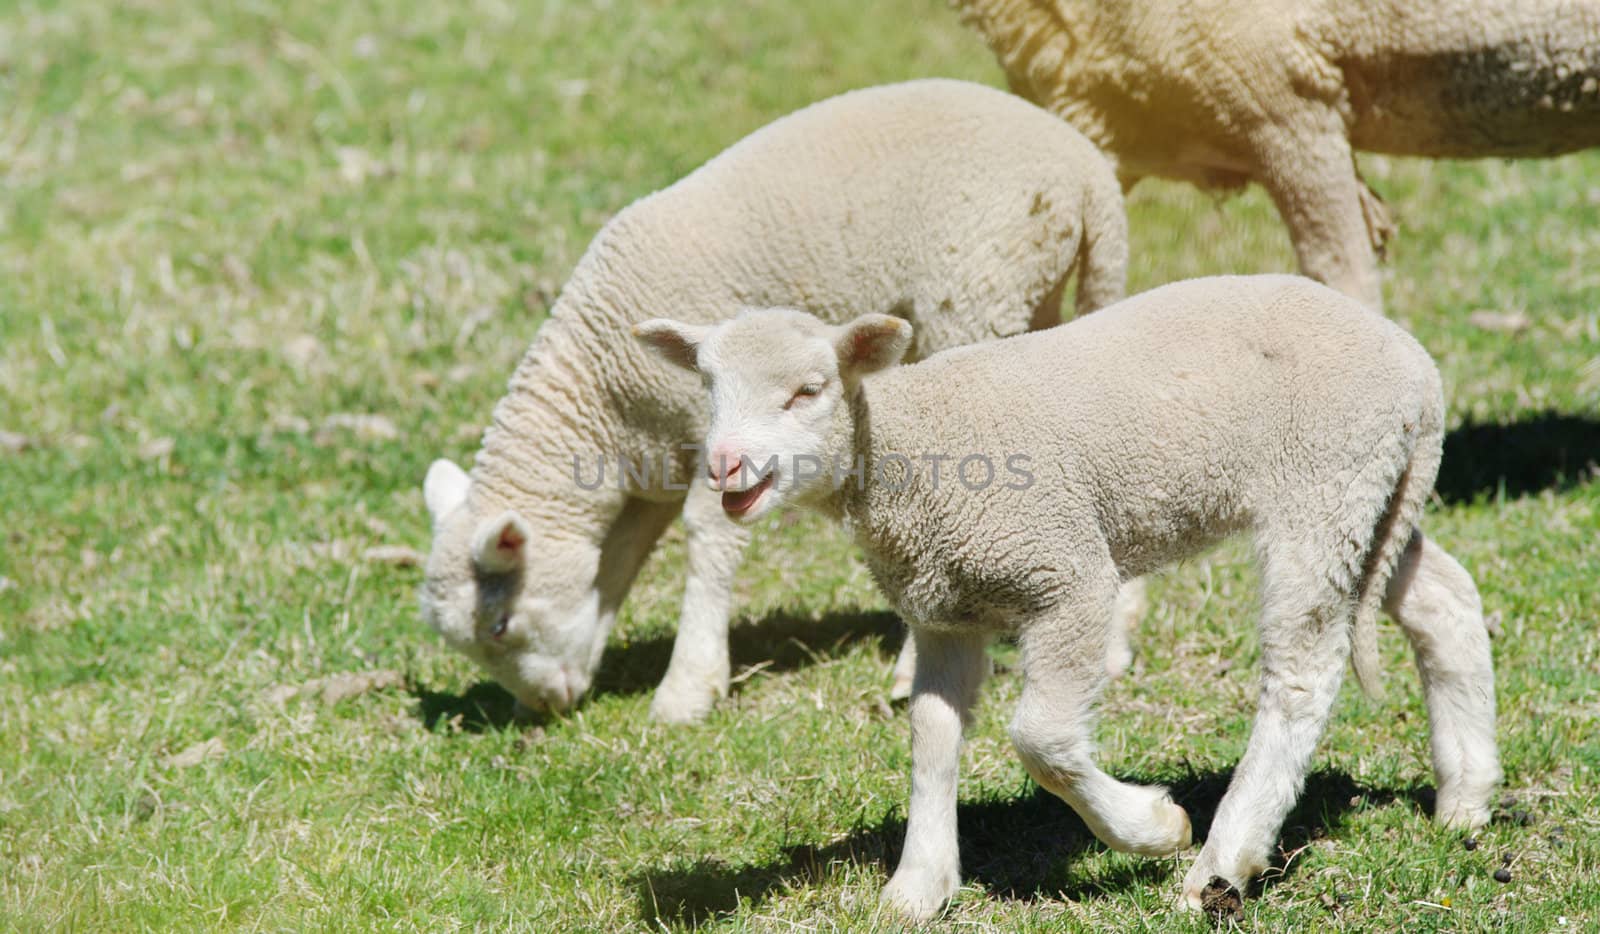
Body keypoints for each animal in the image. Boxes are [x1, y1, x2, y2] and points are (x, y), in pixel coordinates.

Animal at [419, 78, 1132, 722]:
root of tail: (1089, 173)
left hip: (981, 286)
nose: (542, 710)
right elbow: (615, 564)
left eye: (500, 626)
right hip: (1035, 294)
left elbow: (708, 535)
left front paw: (688, 688)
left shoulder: (709, 440)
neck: (599, 393)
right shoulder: (651, 464)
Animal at [636, 275, 1497, 921]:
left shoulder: (1066, 576)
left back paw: (1220, 863)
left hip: (1321, 485)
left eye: (808, 392)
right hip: (1374, 493)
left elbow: (1042, 740)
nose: (724, 465)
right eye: (708, 388)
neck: (905, 453)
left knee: (1303, 671)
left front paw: (1151, 828)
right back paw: (1466, 795)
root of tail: (1418, 369)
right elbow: (932, 738)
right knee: (1444, 603)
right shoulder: (943, 608)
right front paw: (919, 886)